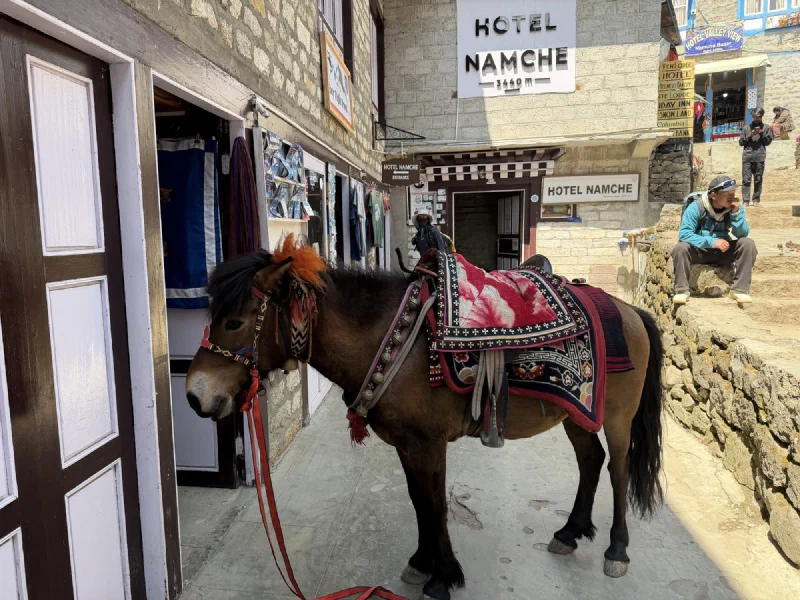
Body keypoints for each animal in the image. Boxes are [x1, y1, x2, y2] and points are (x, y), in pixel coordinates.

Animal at [186, 242, 664, 600]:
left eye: (235, 321)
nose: (194, 394)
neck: (393, 341)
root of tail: (630, 311)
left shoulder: (429, 443)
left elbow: (435, 505)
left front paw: (443, 576)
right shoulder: (407, 443)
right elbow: (419, 502)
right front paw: (421, 563)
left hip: (616, 417)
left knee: (618, 470)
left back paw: (617, 550)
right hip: (577, 413)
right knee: (591, 461)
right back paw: (570, 531)